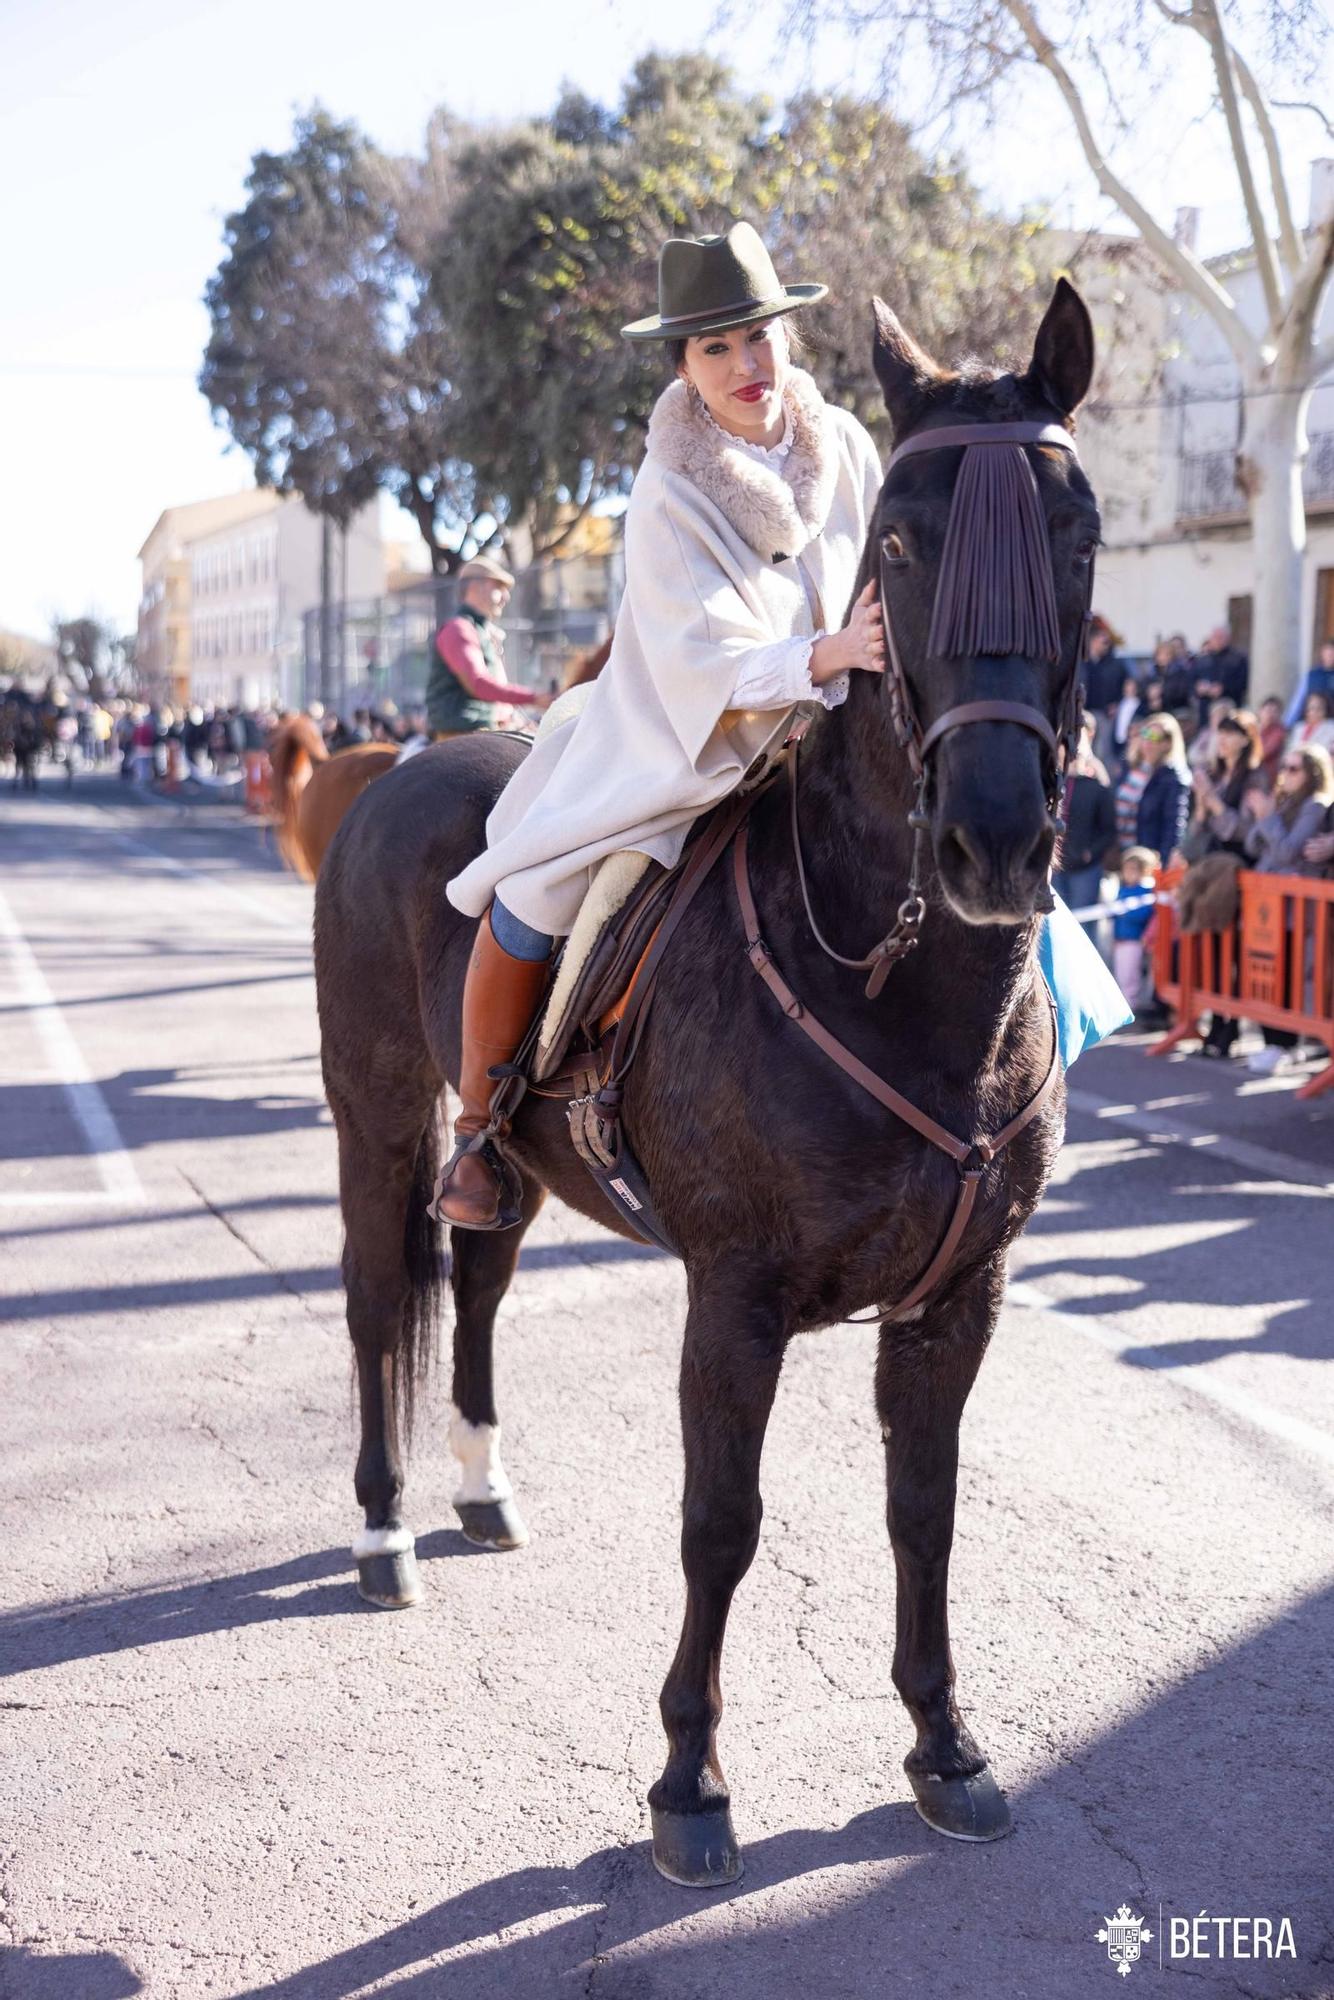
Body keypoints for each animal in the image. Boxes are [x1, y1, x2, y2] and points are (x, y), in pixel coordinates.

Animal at [316, 282, 1104, 1888]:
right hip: (374, 1116)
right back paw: (383, 1534)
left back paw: (478, 1486)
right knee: (378, 1302)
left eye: (1076, 533)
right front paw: (688, 1780)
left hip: (508, 1160)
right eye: (900, 545)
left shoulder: (956, 1299)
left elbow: (923, 1512)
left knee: (472, 1284)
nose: (991, 840)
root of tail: (390, 772)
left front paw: (945, 1743)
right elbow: (721, 1522)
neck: (896, 985)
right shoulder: (732, 1298)